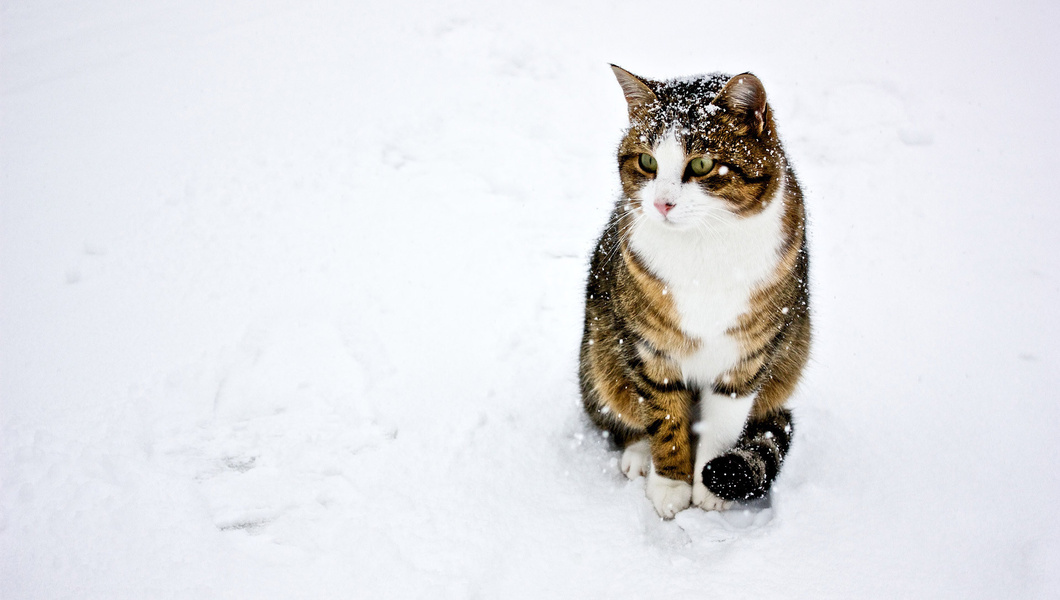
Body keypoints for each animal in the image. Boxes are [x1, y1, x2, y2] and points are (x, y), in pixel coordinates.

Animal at [580, 64, 809, 517]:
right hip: (600, 352)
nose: (662, 204)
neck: (705, 248)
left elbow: (722, 423)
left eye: (702, 164)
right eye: (647, 161)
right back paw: (639, 455)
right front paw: (670, 484)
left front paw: (708, 488)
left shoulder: (748, 352)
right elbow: (665, 415)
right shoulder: (650, 345)